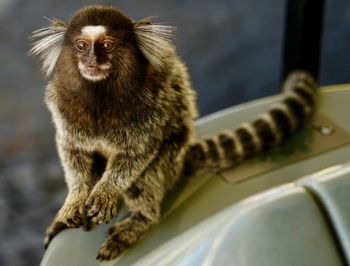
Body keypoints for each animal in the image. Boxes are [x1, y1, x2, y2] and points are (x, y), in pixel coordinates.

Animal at [31, 5, 318, 260]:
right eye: (81, 45)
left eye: (107, 45)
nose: (91, 59)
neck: (100, 96)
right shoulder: (63, 107)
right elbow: (72, 151)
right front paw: (75, 199)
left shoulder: (148, 110)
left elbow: (138, 154)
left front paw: (105, 193)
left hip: (170, 161)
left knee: (148, 174)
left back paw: (140, 220)